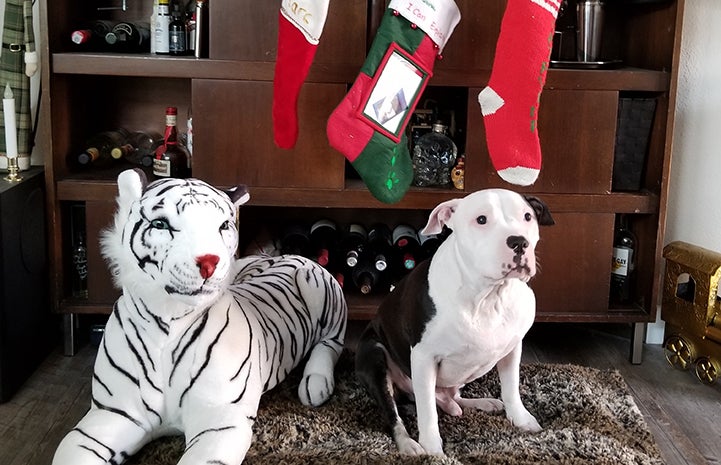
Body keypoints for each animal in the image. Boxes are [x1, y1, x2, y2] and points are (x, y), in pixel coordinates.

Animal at [354, 188, 552, 454]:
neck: (488, 295)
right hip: (374, 357)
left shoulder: (512, 349)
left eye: (527, 216)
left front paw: (521, 419)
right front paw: (432, 449)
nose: (519, 241)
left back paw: (480, 403)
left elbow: (511, 387)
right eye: (481, 219)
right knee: (395, 413)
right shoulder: (424, 357)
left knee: (451, 396)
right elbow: (427, 411)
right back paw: (408, 444)